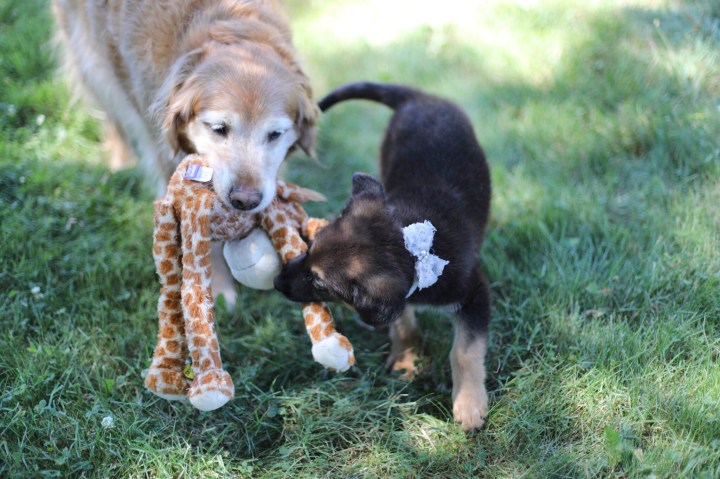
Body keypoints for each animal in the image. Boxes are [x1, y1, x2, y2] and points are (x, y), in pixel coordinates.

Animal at [274, 82, 492, 430]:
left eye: (320, 284)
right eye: (310, 247)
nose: (276, 282)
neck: (415, 247)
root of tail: (418, 98)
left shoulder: (474, 293)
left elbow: (465, 350)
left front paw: (469, 404)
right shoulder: (401, 298)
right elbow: (403, 324)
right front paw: (405, 361)